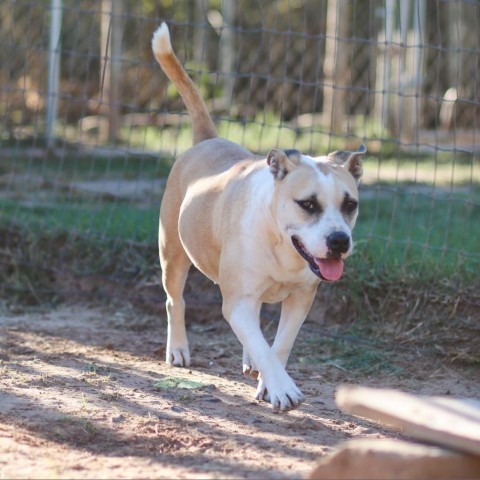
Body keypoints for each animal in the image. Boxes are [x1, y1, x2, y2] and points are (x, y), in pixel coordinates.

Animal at [152, 22, 366, 412]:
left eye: (350, 204)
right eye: (307, 204)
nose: (339, 241)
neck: (281, 244)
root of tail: (207, 139)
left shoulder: (300, 299)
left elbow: (278, 345)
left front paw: (270, 381)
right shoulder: (237, 300)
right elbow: (260, 341)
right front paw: (282, 388)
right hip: (172, 255)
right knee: (176, 300)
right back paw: (178, 349)